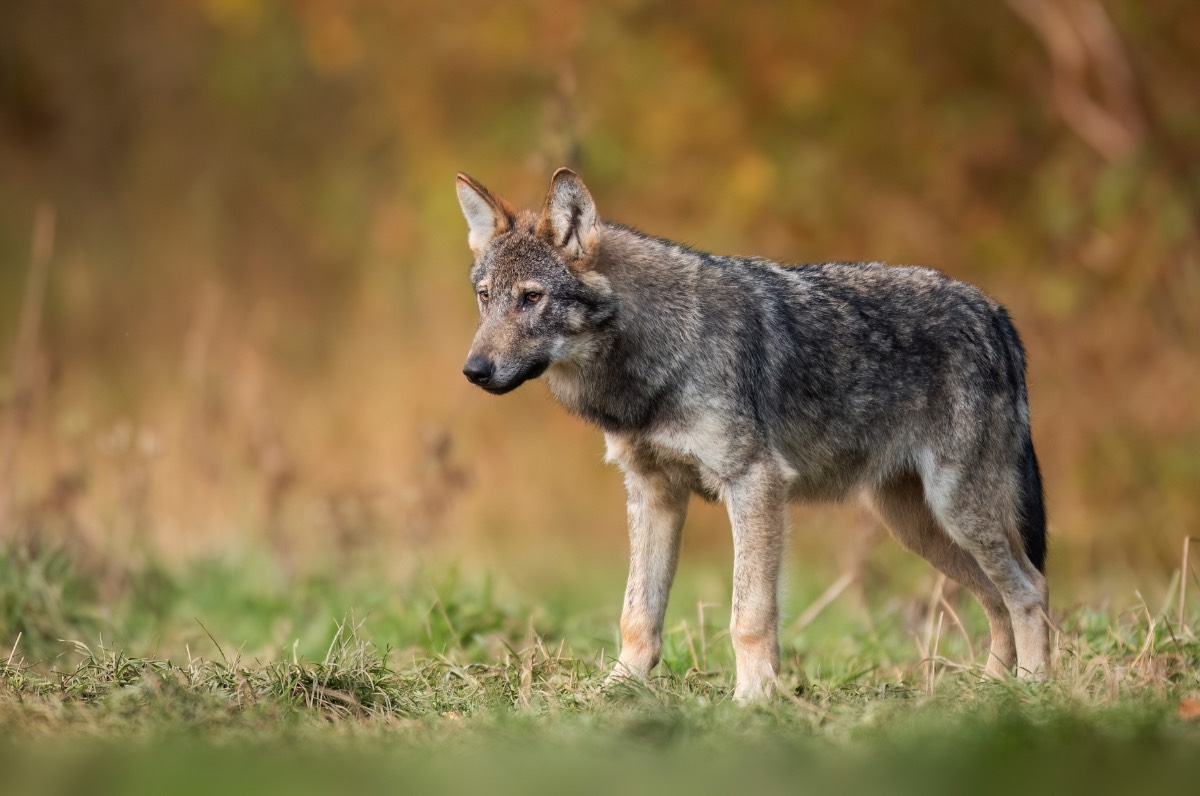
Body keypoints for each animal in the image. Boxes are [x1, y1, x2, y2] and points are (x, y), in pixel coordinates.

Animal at [455, 168, 1049, 700]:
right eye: (485, 297)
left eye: (531, 298)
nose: (474, 370)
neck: (658, 356)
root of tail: (994, 312)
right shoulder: (652, 493)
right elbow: (637, 614)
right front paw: (615, 691)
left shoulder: (755, 484)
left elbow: (750, 616)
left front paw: (753, 700)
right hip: (918, 528)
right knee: (998, 598)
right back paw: (991, 690)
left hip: (957, 513)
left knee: (1029, 590)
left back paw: (1033, 690)